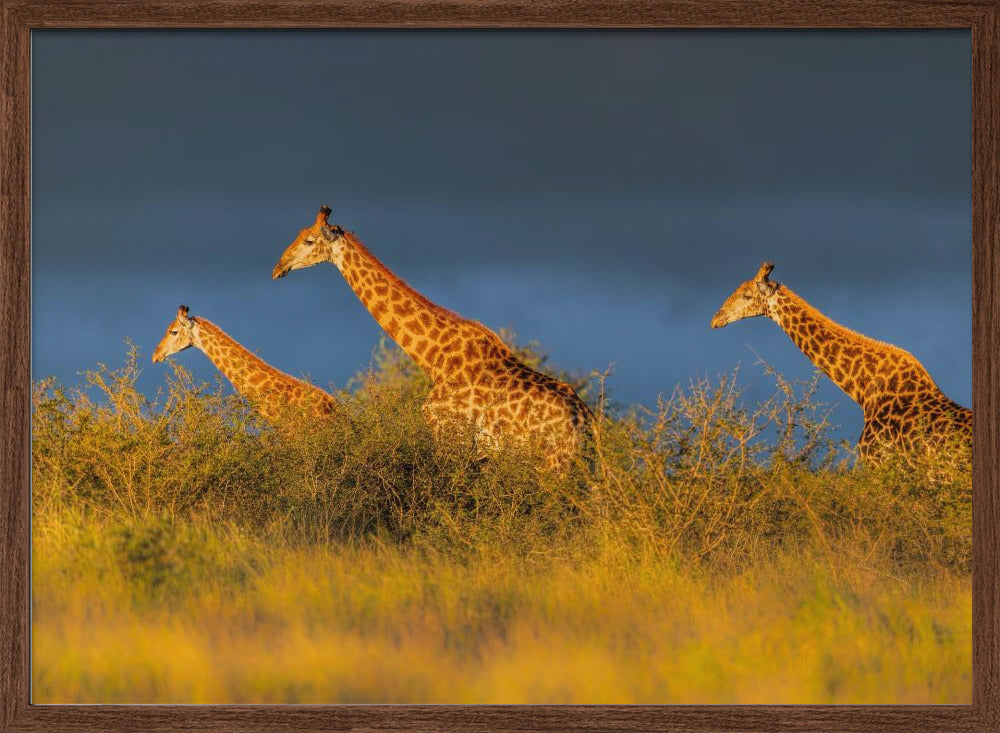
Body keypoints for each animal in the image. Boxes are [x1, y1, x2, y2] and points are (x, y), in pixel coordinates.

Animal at [271, 206, 593, 468]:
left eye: (309, 240)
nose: (278, 267)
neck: (434, 359)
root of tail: (586, 423)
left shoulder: (449, 437)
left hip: (553, 463)